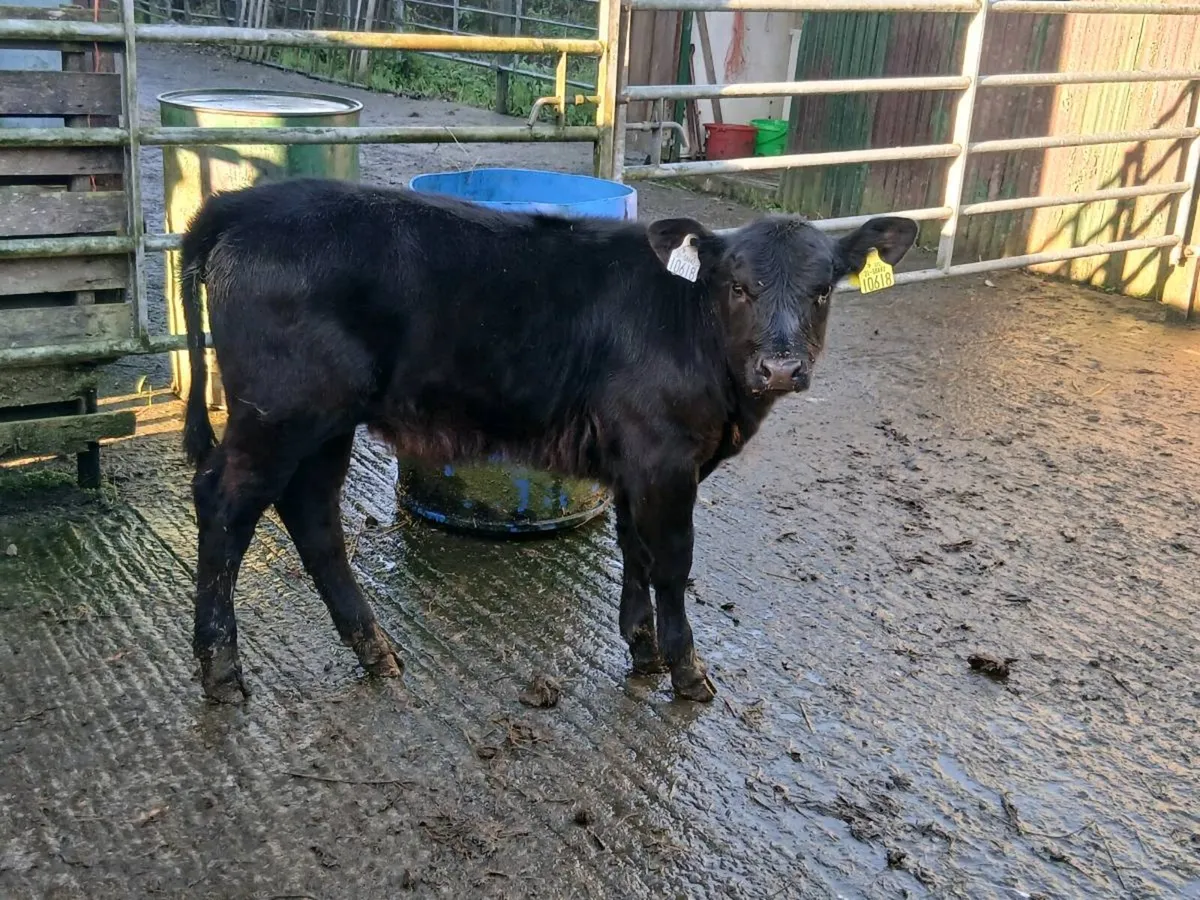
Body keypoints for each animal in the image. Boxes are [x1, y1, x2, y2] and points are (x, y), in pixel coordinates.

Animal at [178, 176, 917, 704]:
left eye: (823, 290)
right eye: (740, 286)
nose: (783, 368)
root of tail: (241, 205)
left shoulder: (637, 461)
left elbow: (637, 552)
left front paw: (643, 651)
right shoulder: (665, 456)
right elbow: (673, 559)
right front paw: (686, 669)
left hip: (325, 422)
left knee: (313, 516)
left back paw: (374, 650)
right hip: (280, 411)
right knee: (225, 502)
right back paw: (222, 669)